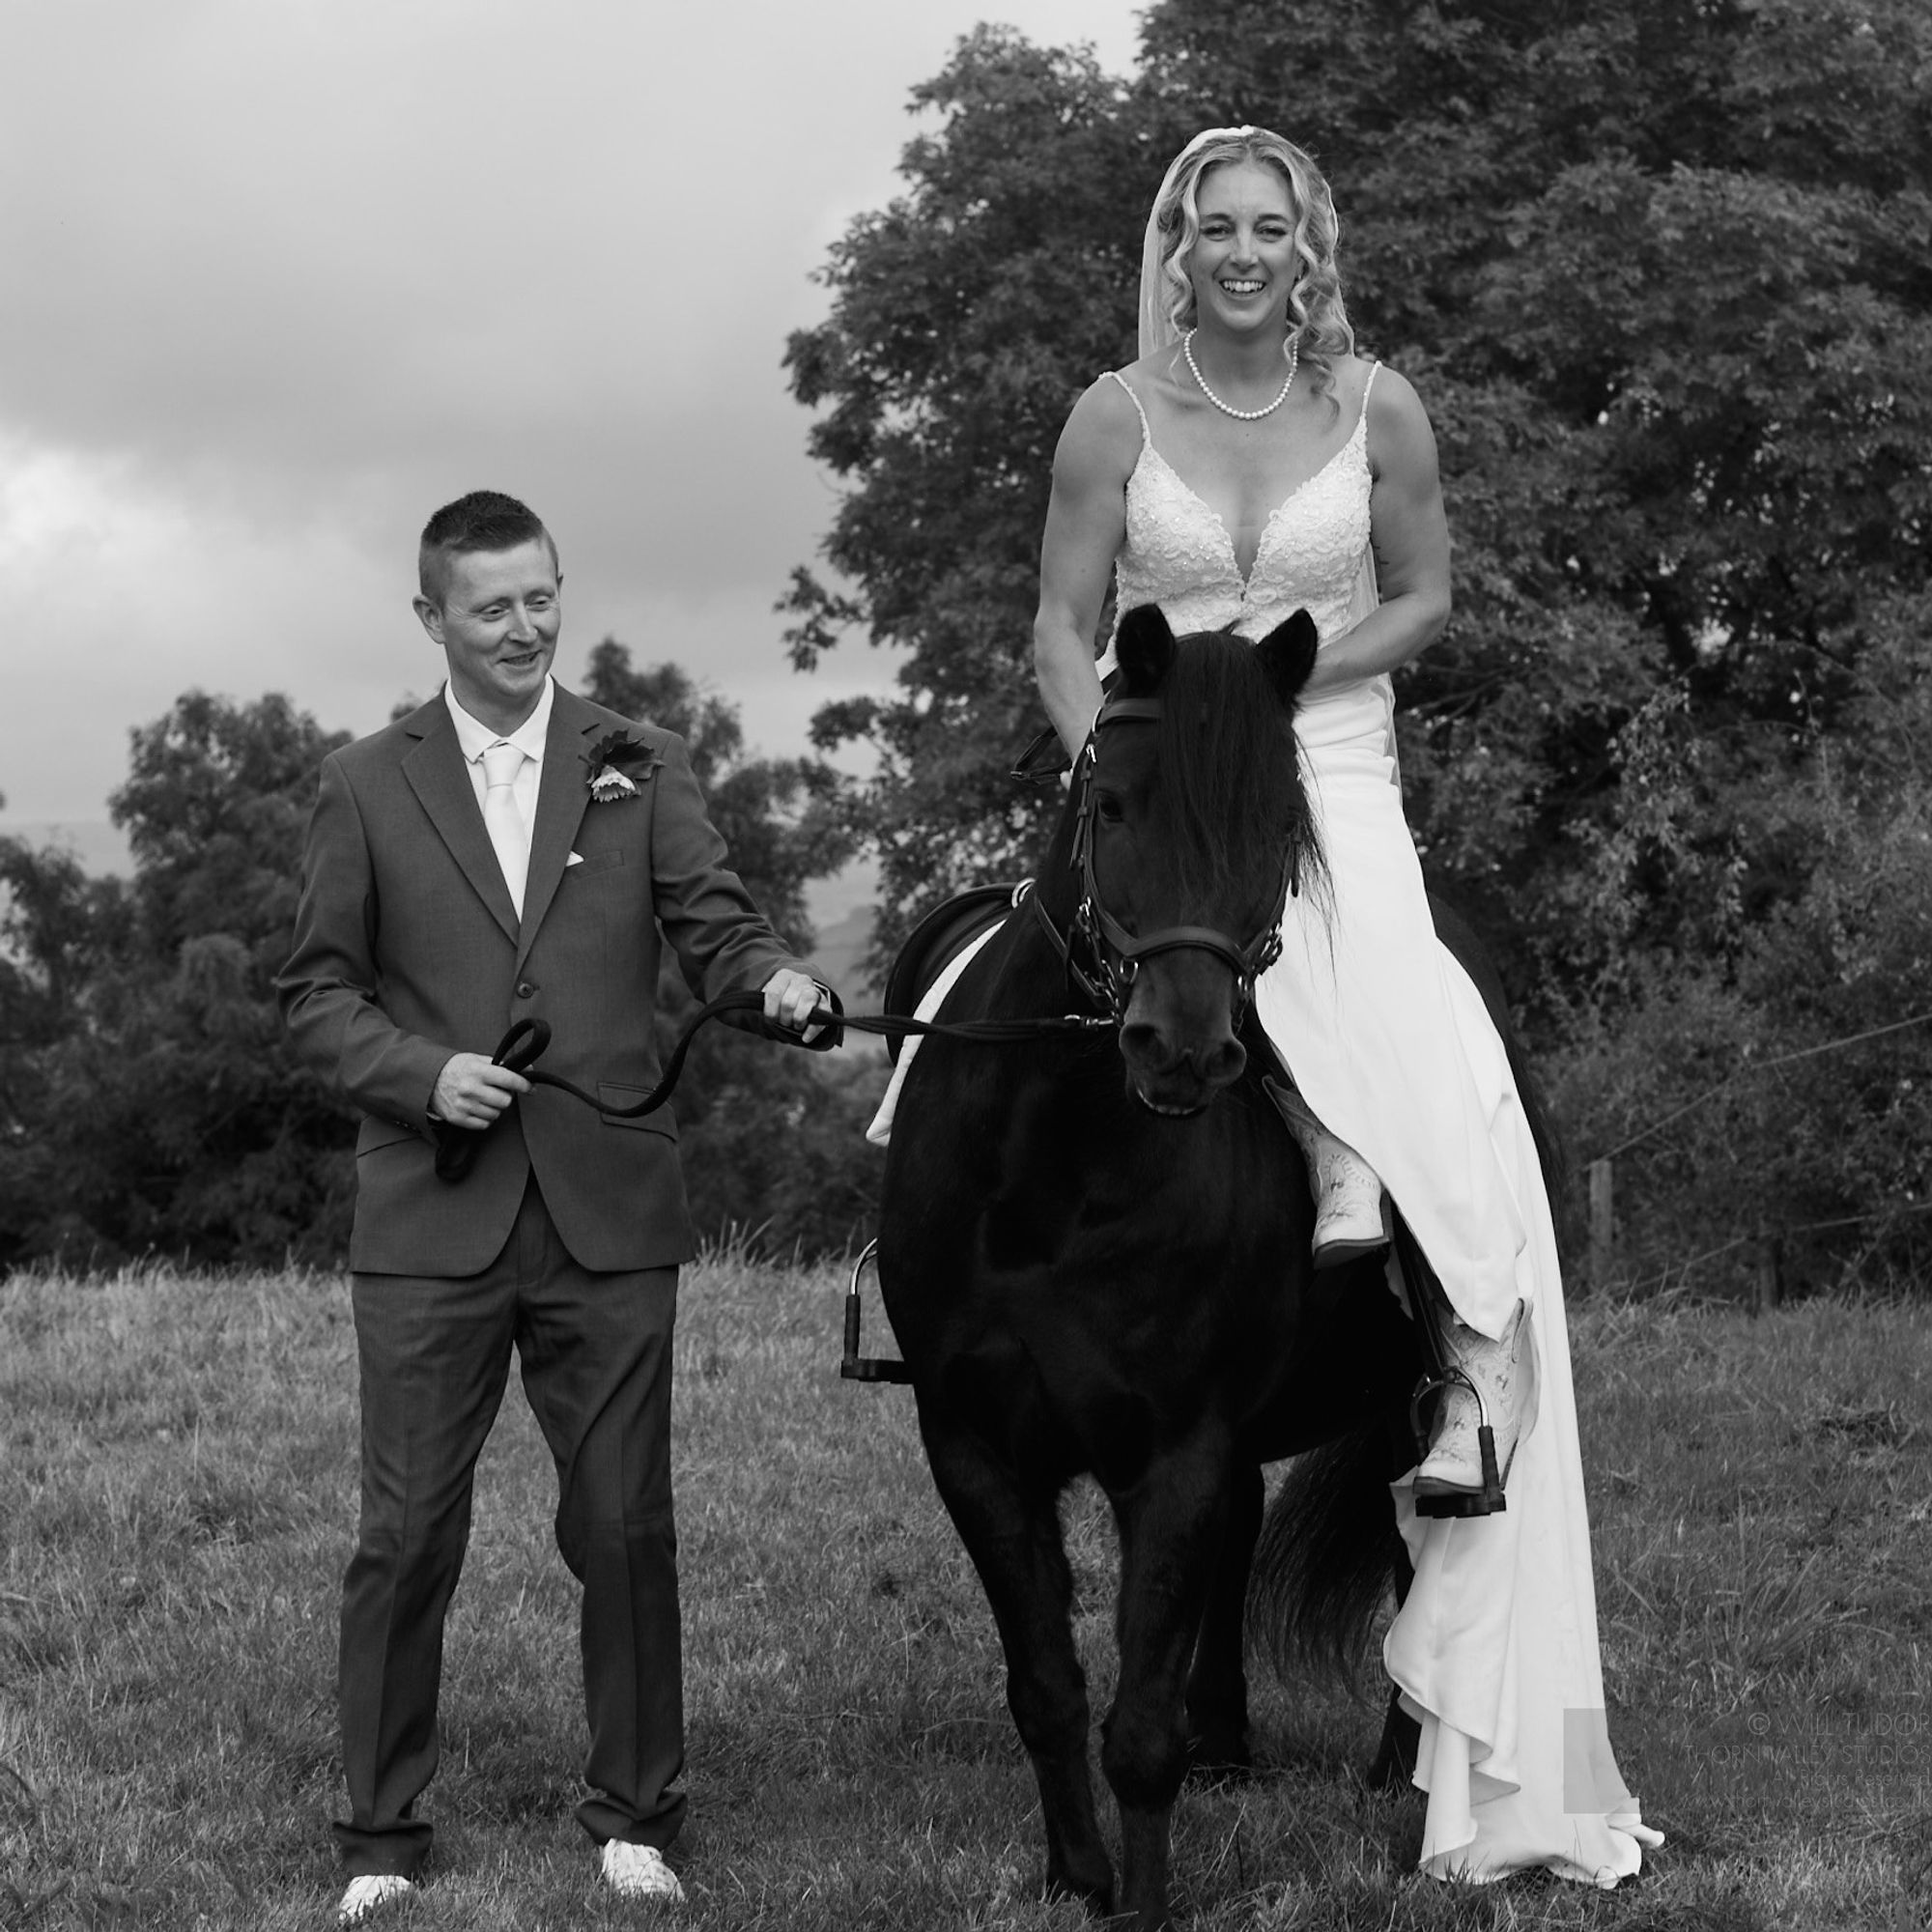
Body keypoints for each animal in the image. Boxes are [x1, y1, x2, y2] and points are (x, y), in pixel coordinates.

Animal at [877, 607, 1538, 1932]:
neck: (1049, 1172)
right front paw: (1075, 1876)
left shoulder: (1172, 1446)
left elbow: (1134, 1717)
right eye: (1113, 804)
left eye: (1278, 827)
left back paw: (1402, 1769)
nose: (1180, 1048)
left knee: (1413, 1545)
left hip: (1398, 1408)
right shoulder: (974, 1445)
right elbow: (1047, 1681)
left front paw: (1140, 1900)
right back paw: (1228, 1742)